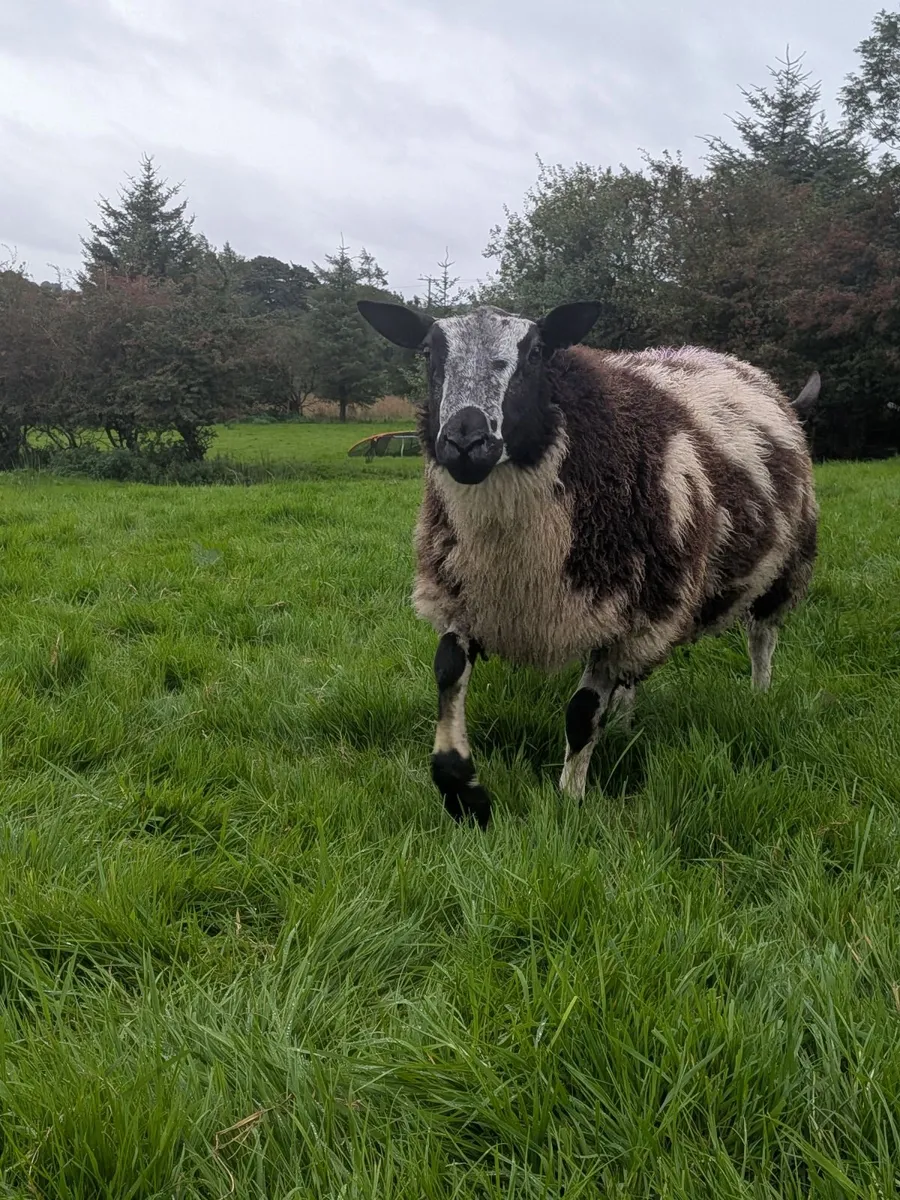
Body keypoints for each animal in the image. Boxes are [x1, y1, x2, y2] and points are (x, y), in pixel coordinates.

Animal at [357, 299, 820, 829]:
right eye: (428, 353)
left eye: (537, 352)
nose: (465, 443)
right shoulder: (467, 597)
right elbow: (446, 674)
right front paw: (465, 796)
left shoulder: (623, 610)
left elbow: (580, 713)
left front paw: (569, 802)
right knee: (636, 674)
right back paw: (622, 722)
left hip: (775, 570)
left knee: (761, 638)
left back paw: (759, 696)